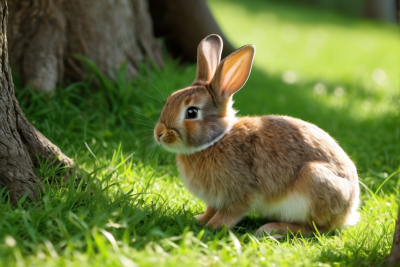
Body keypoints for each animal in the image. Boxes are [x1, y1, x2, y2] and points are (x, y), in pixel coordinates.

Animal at [153, 34, 360, 238]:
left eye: (192, 112)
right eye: (169, 100)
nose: (158, 133)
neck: (216, 140)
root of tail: (349, 211)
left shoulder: (240, 193)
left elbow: (230, 213)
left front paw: (212, 227)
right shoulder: (215, 199)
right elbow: (211, 209)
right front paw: (200, 220)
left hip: (314, 181)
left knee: (317, 229)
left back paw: (272, 229)